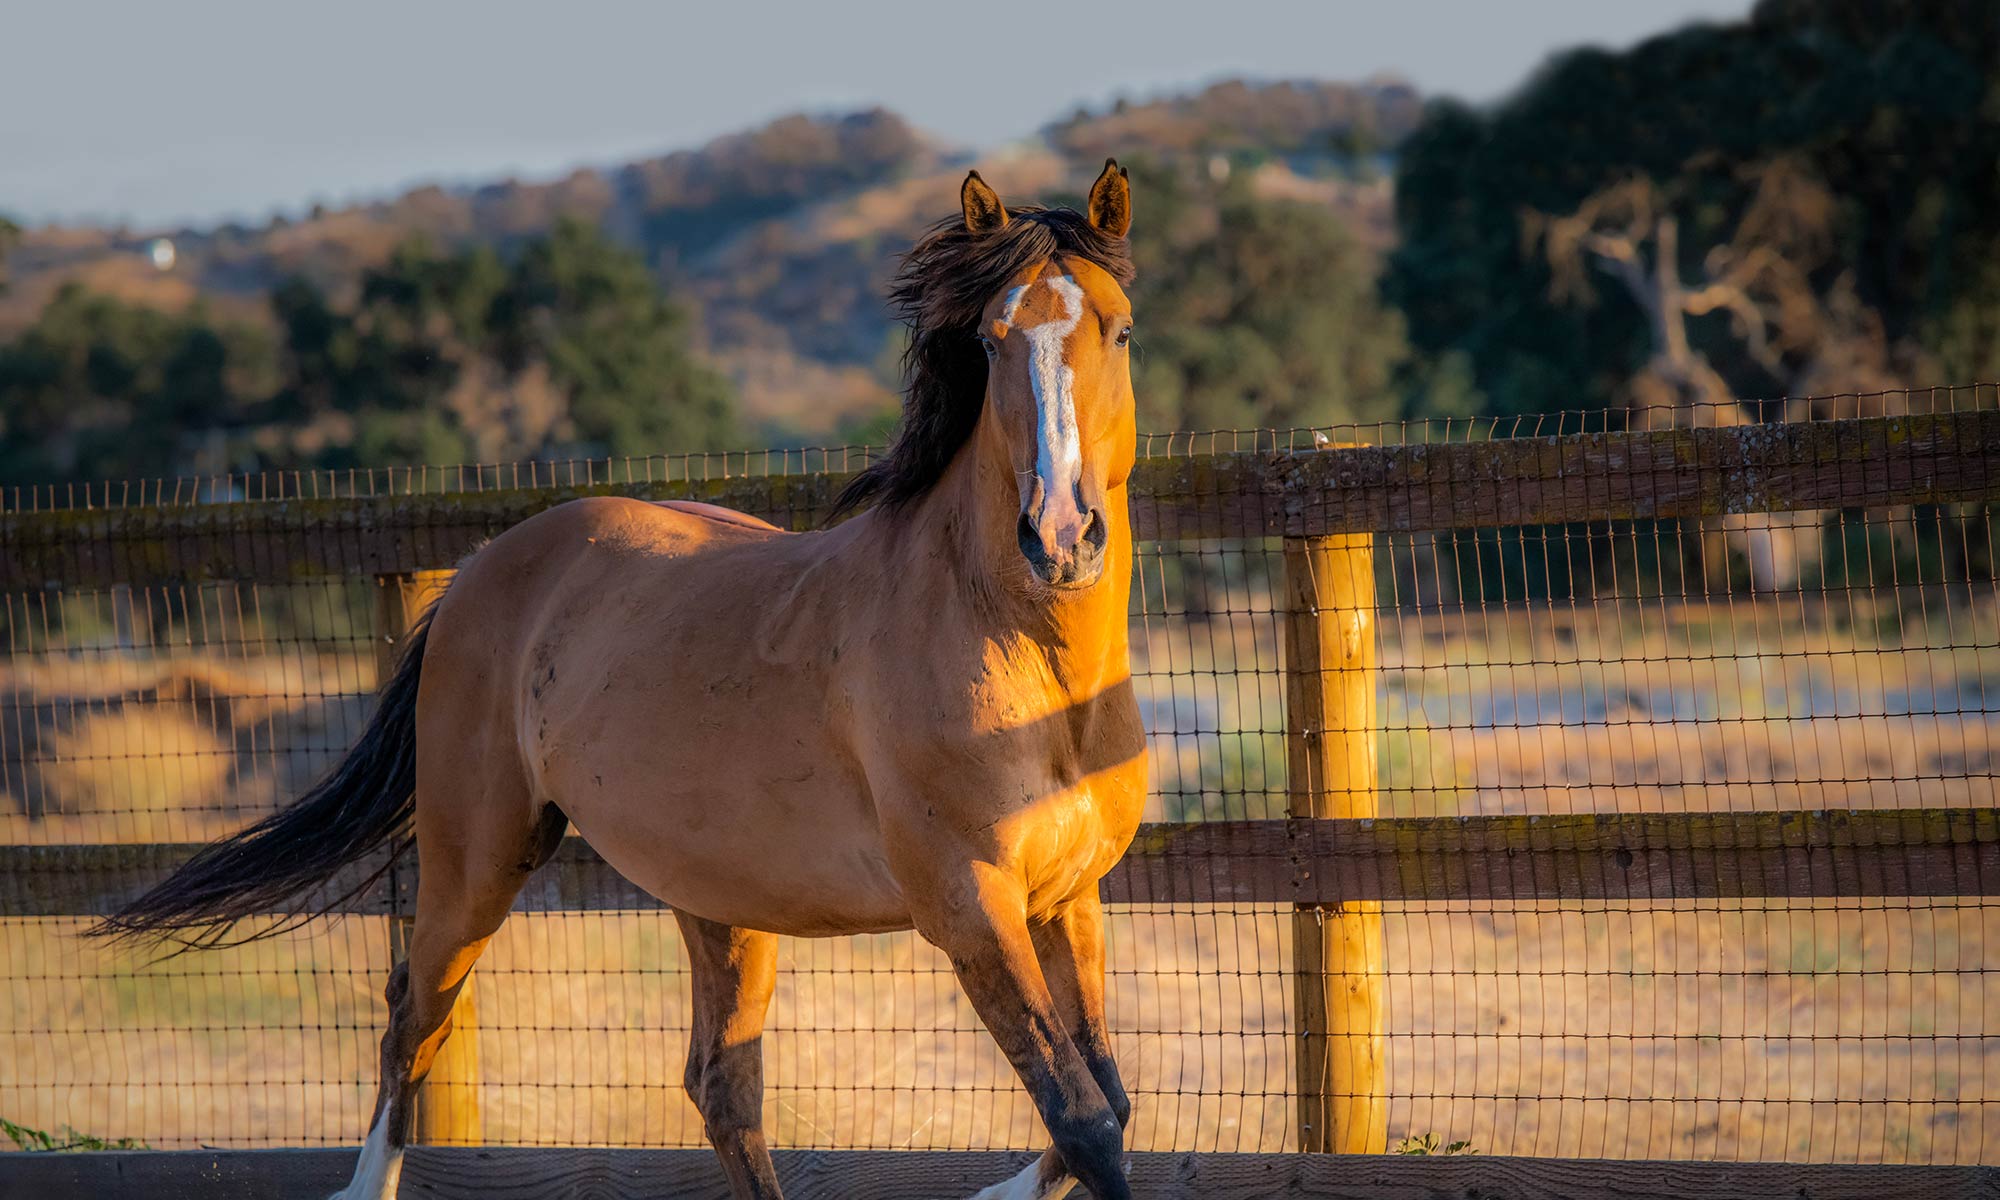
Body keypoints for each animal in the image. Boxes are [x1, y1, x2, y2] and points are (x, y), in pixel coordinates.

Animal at [101, 162, 1152, 1200]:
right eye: (989, 340)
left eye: (1120, 328)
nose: (1059, 537)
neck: (1021, 659)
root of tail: (480, 570)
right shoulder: (971, 908)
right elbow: (1083, 1117)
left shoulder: (1067, 902)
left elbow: (1107, 1101)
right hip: (475, 861)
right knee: (412, 1023)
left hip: (718, 900)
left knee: (722, 1087)